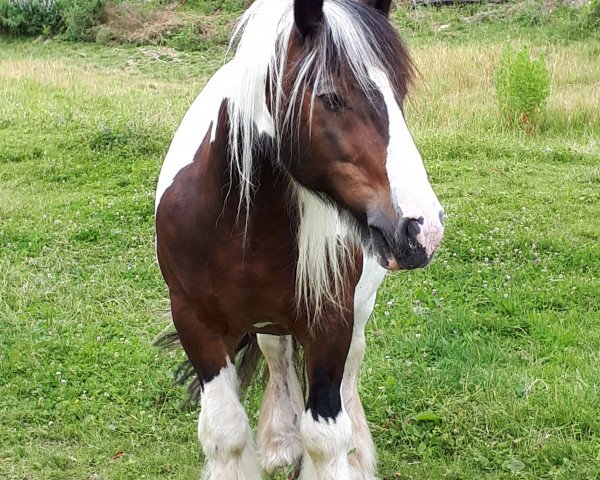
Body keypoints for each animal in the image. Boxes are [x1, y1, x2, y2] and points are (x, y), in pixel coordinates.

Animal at [156, 0, 446, 478]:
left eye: (399, 96)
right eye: (331, 97)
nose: (423, 227)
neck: (243, 232)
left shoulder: (331, 321)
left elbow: (326, 438)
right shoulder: (195, 323)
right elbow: (226, 432)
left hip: (359, 308)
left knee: (351, 371)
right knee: (276, 351)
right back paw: (280, 439)